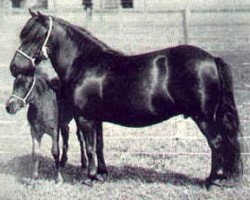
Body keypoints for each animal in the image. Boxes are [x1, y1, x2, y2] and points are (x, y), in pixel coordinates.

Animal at [9, 10, 242, 188]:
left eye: (34, 36)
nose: (14, 67)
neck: (84, 63)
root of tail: (212, 59)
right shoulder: (97, 118)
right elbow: (100, 145)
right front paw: (102, 173)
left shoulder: (85, 118)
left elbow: (90, 147)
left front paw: (90, 177)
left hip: (204, 117)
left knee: (216, 144)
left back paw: (211, 180)